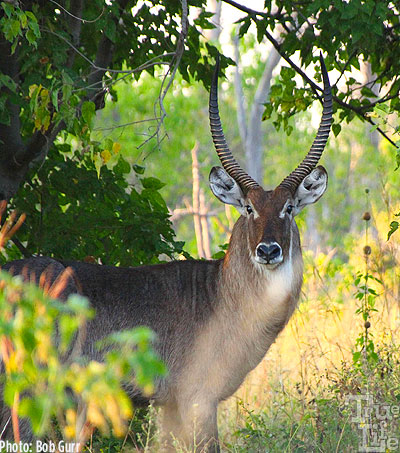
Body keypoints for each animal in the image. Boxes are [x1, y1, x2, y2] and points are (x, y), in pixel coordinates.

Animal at [1, 53, 332, 448]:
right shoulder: (198, 397)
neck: (222, 296)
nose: (268, 250)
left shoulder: (170, 405)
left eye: (289, 208)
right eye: (249, 208)